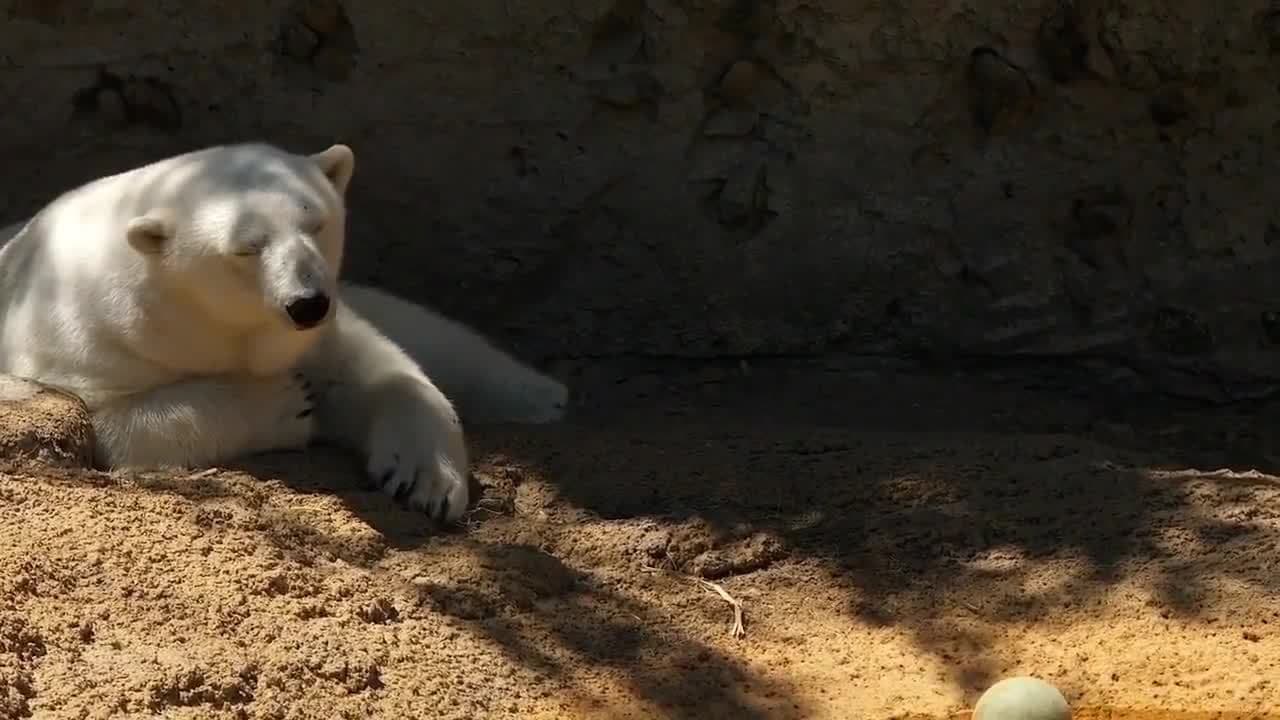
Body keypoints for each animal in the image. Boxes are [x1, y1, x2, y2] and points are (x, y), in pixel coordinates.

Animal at [0, 141, 569, 523]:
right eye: (246, 247)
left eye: (316, 223)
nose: (308, 302)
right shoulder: (88, 348)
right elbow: (111, 428)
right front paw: (286, 403)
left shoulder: (318, 331)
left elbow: (380, 373)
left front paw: (424, 478)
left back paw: (544, 395)